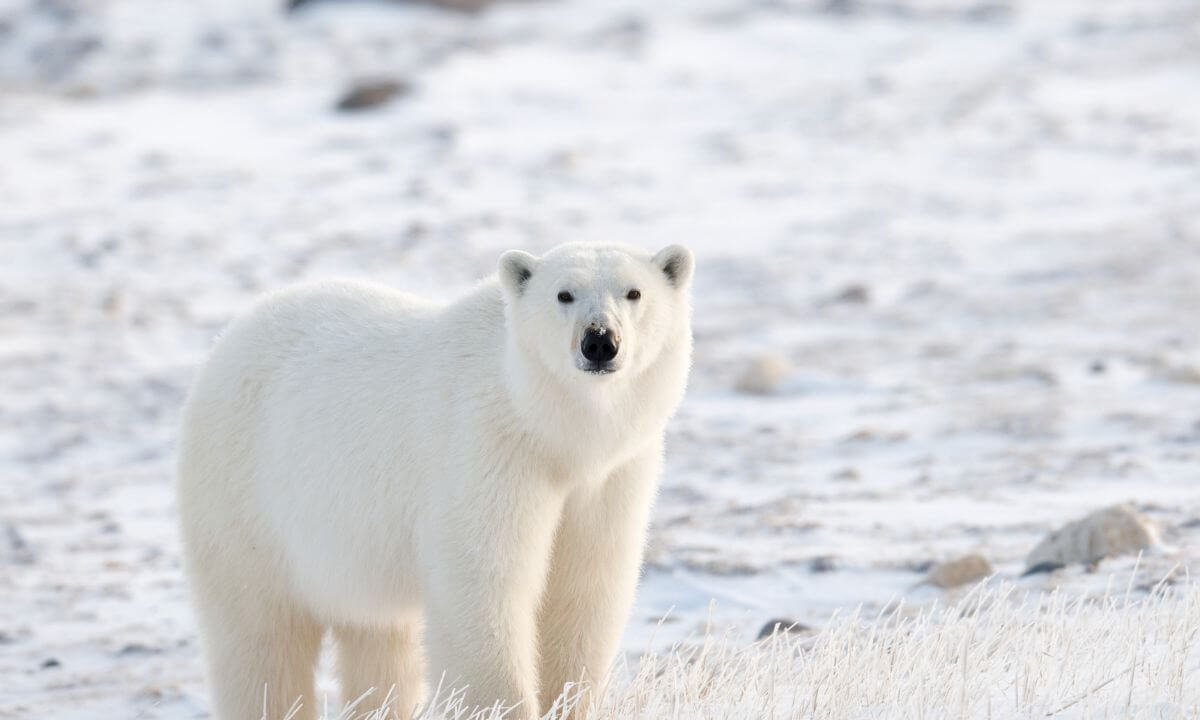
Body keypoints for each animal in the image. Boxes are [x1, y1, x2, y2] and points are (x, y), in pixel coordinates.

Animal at [176, 243, 696, 720]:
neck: (552, 431)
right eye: (564, 293)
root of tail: (229, 337)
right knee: (260, 637)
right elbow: (484, 585)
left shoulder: (611, 476)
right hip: (245, 501)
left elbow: (584, 588)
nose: (600, 341)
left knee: (379, 642)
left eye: (634, 292)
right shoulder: (487, 451)